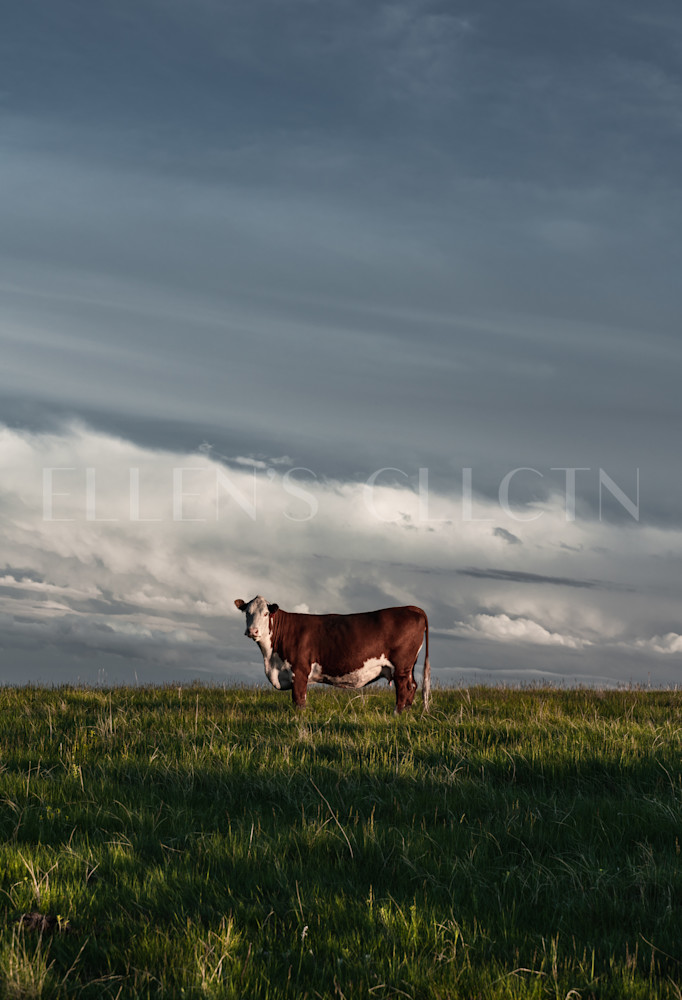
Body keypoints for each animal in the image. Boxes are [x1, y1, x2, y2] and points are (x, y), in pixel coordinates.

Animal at [234, 595, 431, 714]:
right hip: (408, 666)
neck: (271, 659)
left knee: (404, 688)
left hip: (401, 665)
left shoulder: (300, 670)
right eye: (247, 613)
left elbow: (299, 699)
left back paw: (397, 713)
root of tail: (411, 608)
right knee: (413, 686)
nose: (252, 631)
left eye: (265, 613)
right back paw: (407, 712)